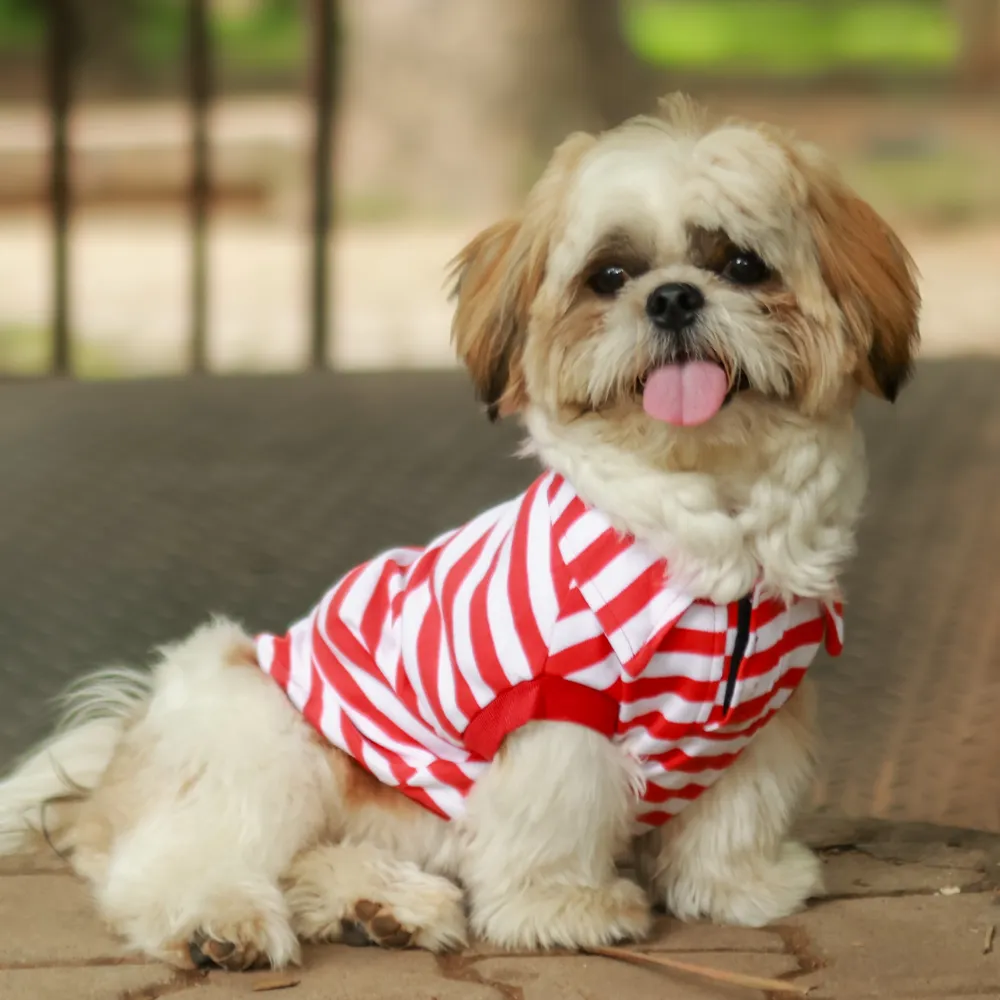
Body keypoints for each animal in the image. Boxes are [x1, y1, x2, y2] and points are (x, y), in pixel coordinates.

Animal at [0, 94, 920, 968]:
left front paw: (741, 886)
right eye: (610, 276)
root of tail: (121, 748)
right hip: (268, 733)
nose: (671, 296)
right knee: (173, 858)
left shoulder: (765, 712)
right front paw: (565, 908)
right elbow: (559, 808)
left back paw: (375, 907)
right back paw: (220, 919)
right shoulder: (555, 705)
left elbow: (737, 812)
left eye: (741, 265)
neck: (708, 540)